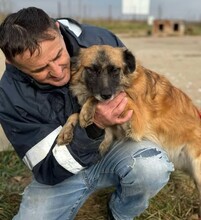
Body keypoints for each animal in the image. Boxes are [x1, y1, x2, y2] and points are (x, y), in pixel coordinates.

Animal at [56, 44, 201, 218]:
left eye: (115, 70)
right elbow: (75, 114)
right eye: (92, 70)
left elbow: (109, 97)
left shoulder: (135, 119)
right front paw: (66, 130)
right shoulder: (109, 132)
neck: (126, 82)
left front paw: (87, 109)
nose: (106, 94)